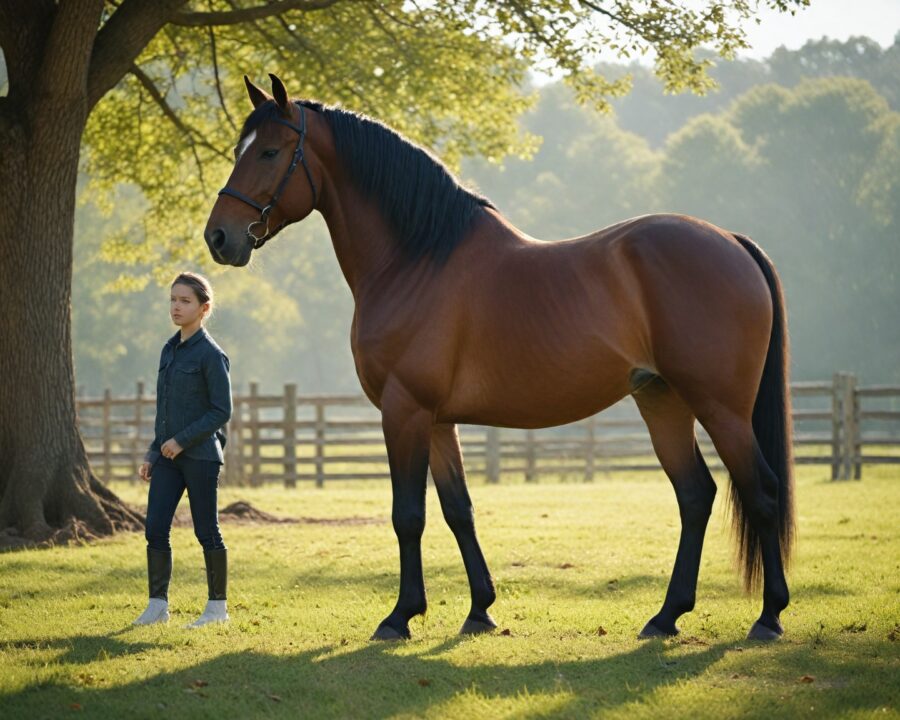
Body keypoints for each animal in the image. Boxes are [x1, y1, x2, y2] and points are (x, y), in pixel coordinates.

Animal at [204, 74, 795, 642]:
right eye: (239, 149)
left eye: (269, 152)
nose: (219, 237)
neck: (416, 258)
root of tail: (731, 241)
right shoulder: (437, 421)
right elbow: (458, 510)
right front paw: (479, 611)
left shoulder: (404, 410)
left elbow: (408, 515)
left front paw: (400, 616)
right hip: (662, 400)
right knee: (695, 496)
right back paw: (666, 616)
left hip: (721, 408)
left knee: (761, 492)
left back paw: (768, 617)